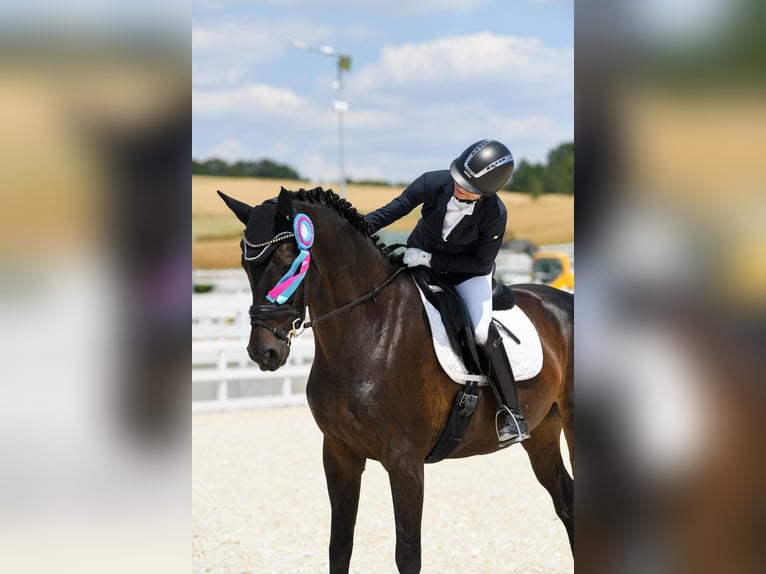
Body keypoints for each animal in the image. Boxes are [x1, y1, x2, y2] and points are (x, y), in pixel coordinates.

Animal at [218, 186, 574, 574]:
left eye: (287, 261)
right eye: (245, 264)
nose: (263, 352)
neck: (368, 329)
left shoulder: (405, 461)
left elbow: (407, 553)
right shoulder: (339, 454)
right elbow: (339, 546)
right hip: (543, 431)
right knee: (567, 503)